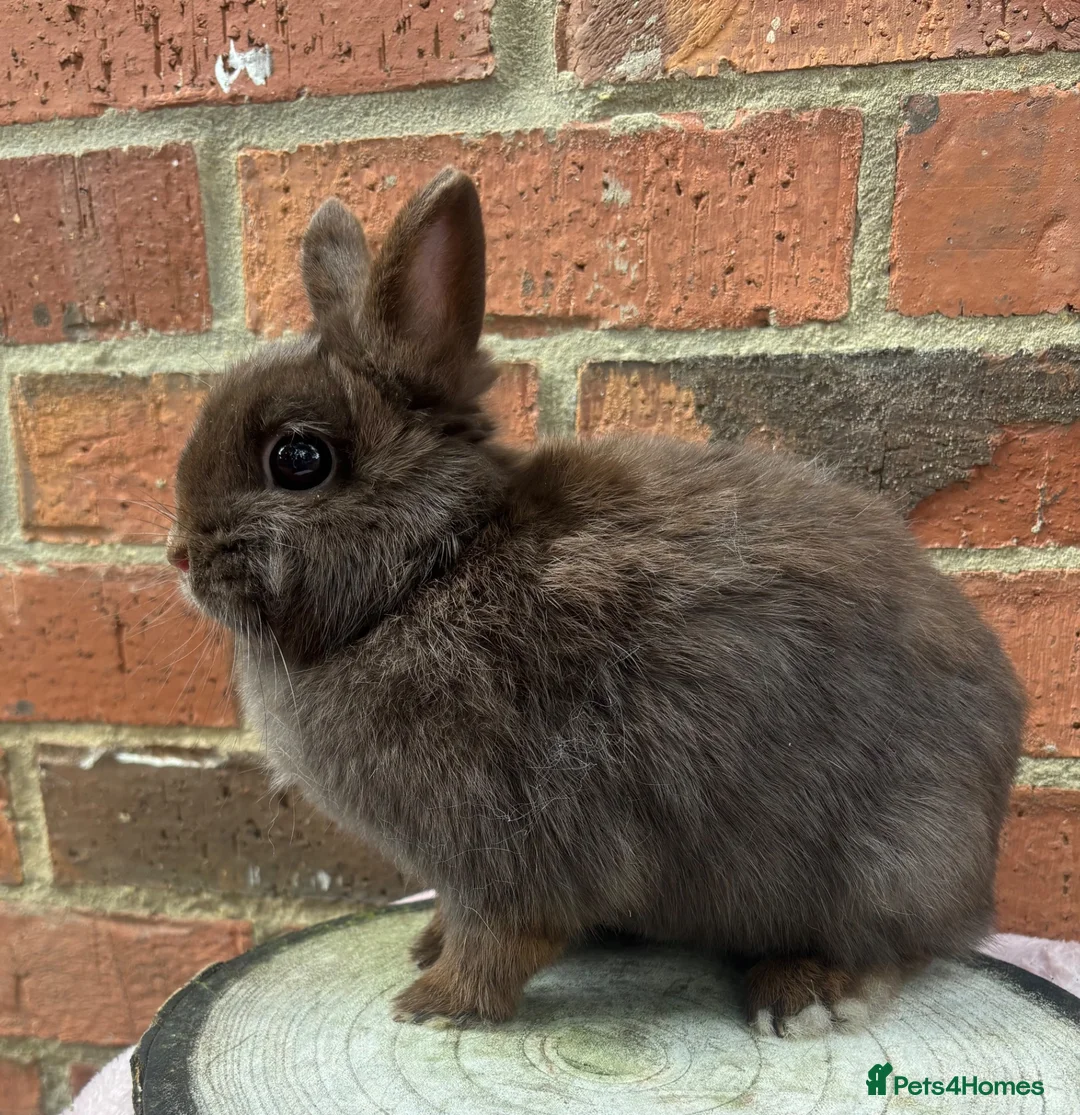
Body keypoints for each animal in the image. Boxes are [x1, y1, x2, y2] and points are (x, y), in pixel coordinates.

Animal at [169, 166, 1025, 1037]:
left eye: (299, 459)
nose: (179, 555)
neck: (430, 568)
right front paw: (426, 949)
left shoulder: (513, 838)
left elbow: (502, 936)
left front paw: (435, 1004)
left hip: (882, 866)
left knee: (896, 949)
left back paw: (804, 997)